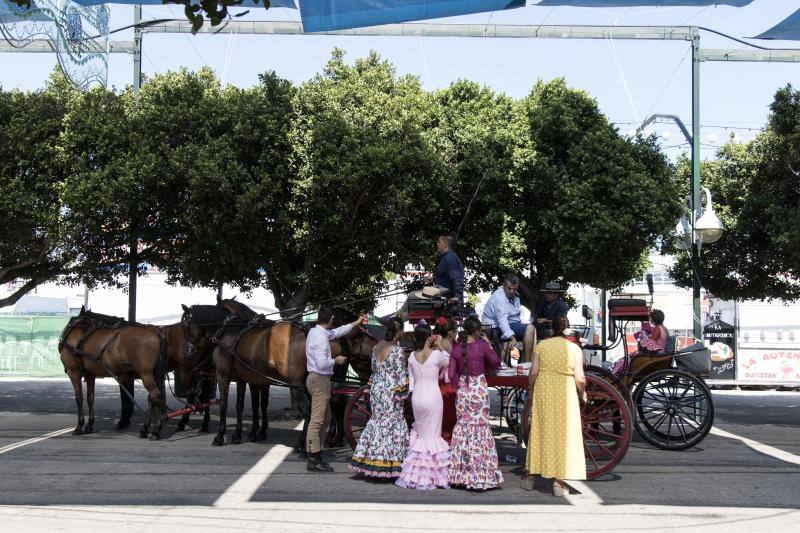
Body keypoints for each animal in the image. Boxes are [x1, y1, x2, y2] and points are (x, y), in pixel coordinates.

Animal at [59, 306, 169, 438]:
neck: (80, 333)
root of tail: (156, 332)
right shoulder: (90, 374)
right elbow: (90, 398)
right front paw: (89, 424)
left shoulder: (74, 372)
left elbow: (79, 398)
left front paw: (79, 426)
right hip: (153, 374)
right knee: (153, 399)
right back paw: (146, 429)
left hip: (145, 374)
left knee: (155, 396)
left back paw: (155, 431)